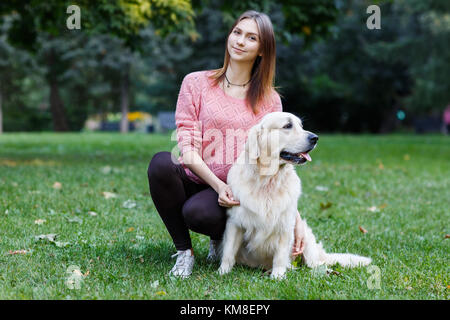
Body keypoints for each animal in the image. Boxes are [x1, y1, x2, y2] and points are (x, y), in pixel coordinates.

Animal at [220, 111, 370, 278]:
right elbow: (228, 252)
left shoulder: (286, 224)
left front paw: (278, 276)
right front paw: (222, 272)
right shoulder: (235, 222)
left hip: (307, 240)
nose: (315, 138)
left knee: (316, 263)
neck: (268, 180)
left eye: (301, 125)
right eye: (287, 125)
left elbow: (280, 255)